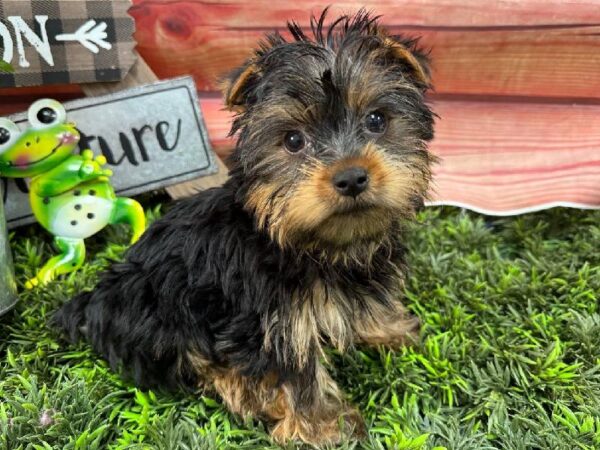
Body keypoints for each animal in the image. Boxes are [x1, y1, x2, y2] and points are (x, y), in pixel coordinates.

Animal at [54, 8, 434, 444]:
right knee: (192, 360)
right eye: (293, 141)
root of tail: (93, 301)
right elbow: (294, 373)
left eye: (376, 120)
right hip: (155, 308)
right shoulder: (272, 322)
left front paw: (389, 328)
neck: (309, 245)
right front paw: (325, 426)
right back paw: (244, 390)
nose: (351, 177)